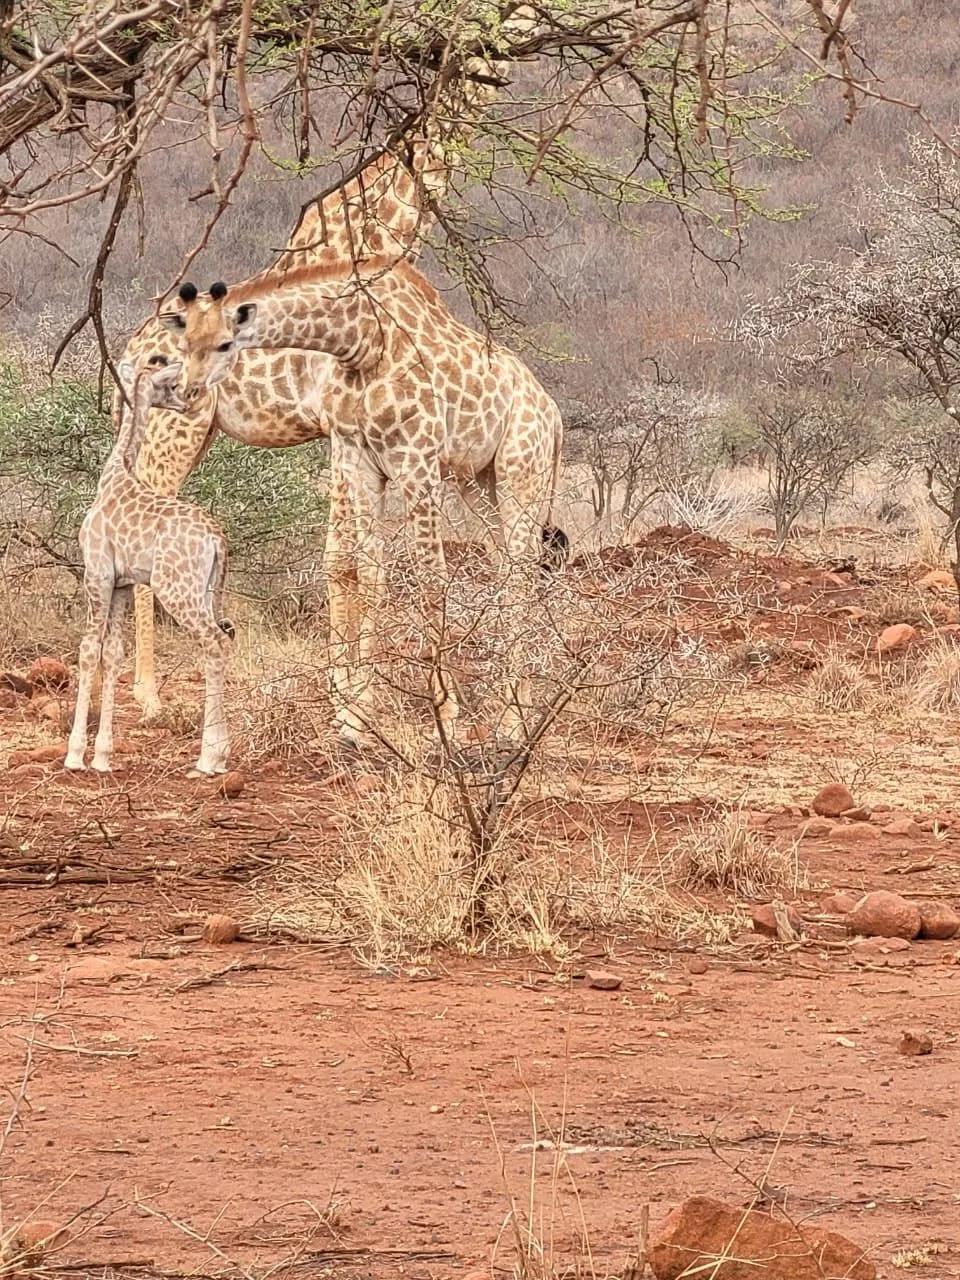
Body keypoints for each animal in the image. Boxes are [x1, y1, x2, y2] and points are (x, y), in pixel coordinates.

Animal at [66, 357, 234, 776]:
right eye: (169, 386)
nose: (185, 403)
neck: (114, 475)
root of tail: (218, 541)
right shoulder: (123, 584)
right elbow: (113, 654)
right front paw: (103, 756)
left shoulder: (97, 573)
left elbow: (88, 650)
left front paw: (75, 755)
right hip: (207, 591)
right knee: (221, 642)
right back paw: (218, 755)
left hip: (177, 590)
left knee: (214, 643)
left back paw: (210, 757)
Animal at [162, 257, 566, 743]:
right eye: (185, 341)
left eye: (225, 343)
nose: (188, 391)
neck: (362, 341)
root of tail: (553, 414)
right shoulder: (359, 460)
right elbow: (372, 574)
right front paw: (358, 716)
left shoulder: (416, 460)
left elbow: (431, 579)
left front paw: (445, 712)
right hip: (478, 482)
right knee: (509, 572)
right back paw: (516, 709)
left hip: (521, 470)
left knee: (522, 575)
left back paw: (511, 719)